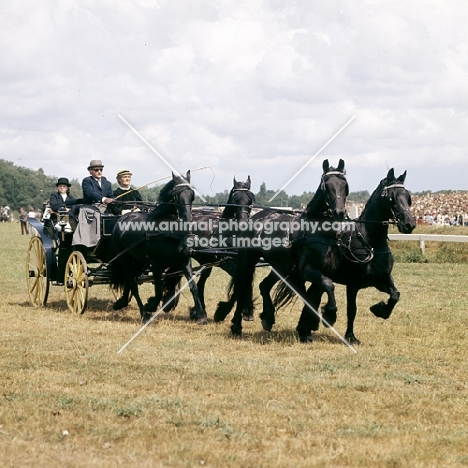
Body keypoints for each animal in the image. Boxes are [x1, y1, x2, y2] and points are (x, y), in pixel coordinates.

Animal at [109, 170, 207, 324]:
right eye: (175, 195)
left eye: (192, 195)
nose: (187, 220)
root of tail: (124, 217)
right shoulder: (156, 264)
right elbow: (159, 290)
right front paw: (150, 305)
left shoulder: (184, 261)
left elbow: (193, 286)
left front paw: (201, 315)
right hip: (124, 258)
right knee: (132, 283)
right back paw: (144, 314)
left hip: (138, 261)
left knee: (131, 281)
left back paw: (122, 302)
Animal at [229, 159, 350, 338]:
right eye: (326, 185)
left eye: (344, 184)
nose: (339, 212)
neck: (318, 232)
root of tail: (254, 217)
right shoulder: (307, 270)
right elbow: (326, 286)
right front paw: (329, 315)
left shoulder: (326, 270)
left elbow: (316, 294)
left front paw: (309, 326)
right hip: (248, 260)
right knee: (242, 286)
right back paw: (237, 326)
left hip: (280, 265)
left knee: (264, 286)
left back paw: (268, 317)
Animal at [276, 168, 414, 344]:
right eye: (392, 198)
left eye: (407, 196)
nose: (410, 224)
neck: (370, 243)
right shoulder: (353, 284)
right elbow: (352, 310)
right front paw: (350, 336)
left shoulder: (380, 279)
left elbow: (395, 295)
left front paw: (380, 310)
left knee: (313, 296)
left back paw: (305, 328)